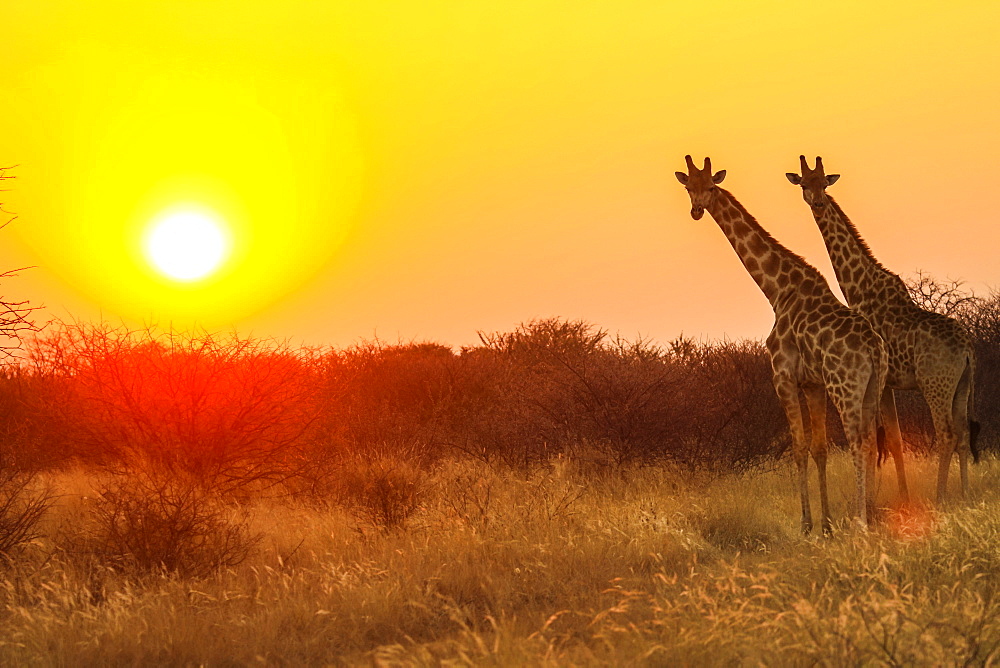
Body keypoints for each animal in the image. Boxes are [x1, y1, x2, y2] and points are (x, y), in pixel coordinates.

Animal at [676, 155, 888, 532]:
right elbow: (819, 449)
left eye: (711, 186)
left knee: (858, 443)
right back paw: (872, 513)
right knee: (871, 441)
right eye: (689, 187)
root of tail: (874, 349)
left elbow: (799, 447)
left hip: (846, 388)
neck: (777, 290)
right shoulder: (812, 383)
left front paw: (806, 524)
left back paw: (861, 521)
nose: (697, 210)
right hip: (872, 389)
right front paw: (826, 524)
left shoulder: (783, 376)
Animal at [784, 157, 980, 500]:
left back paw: (941, 496)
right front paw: (902, 497)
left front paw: (880, 499)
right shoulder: (888, 382)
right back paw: (964, 493)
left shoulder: (883, 380)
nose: (818, 203)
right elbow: (895, 440)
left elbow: (880, 440)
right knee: (963, 431)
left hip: (935, 384)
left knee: (945, 433)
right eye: (805, 184)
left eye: (824, 182)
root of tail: (968, 349)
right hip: (963, 384)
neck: (858, 286)